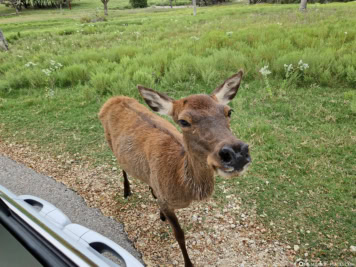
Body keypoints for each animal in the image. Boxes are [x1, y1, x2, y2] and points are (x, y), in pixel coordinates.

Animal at [98, 70, 252, 266]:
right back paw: (126, 191)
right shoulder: (167, 202)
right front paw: (188, 263)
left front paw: (160, 212)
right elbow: (179, 234)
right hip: (109, 141)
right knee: (122, 166)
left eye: (228, 111)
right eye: (184, 121)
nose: (236, 153)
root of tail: (111, 100)